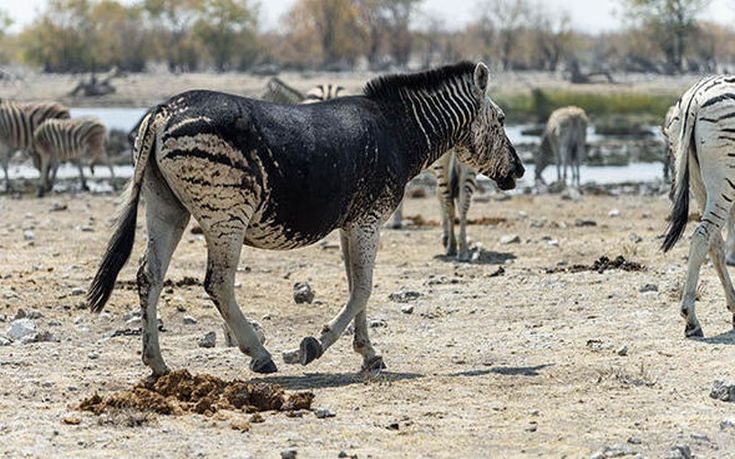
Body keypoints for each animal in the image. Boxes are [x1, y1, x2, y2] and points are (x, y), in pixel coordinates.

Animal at [86, 61, 524, 378]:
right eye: (503, 120)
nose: (519, 171)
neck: (399, 131)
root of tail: (162, 112)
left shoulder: (353, 223)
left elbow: (356, 287)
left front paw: (368, 354)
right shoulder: (369, 220)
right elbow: (363, 289)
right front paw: (313, 346)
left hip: (166, 206)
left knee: (149, 276)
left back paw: (157, 363)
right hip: (226, 213)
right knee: (218, 283)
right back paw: (259, 353)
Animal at [664, 76, 735, 338]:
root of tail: (695, 97)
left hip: (698, 181)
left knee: (714, 243)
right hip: (723, 180)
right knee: (702, 236)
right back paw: (691, 318)